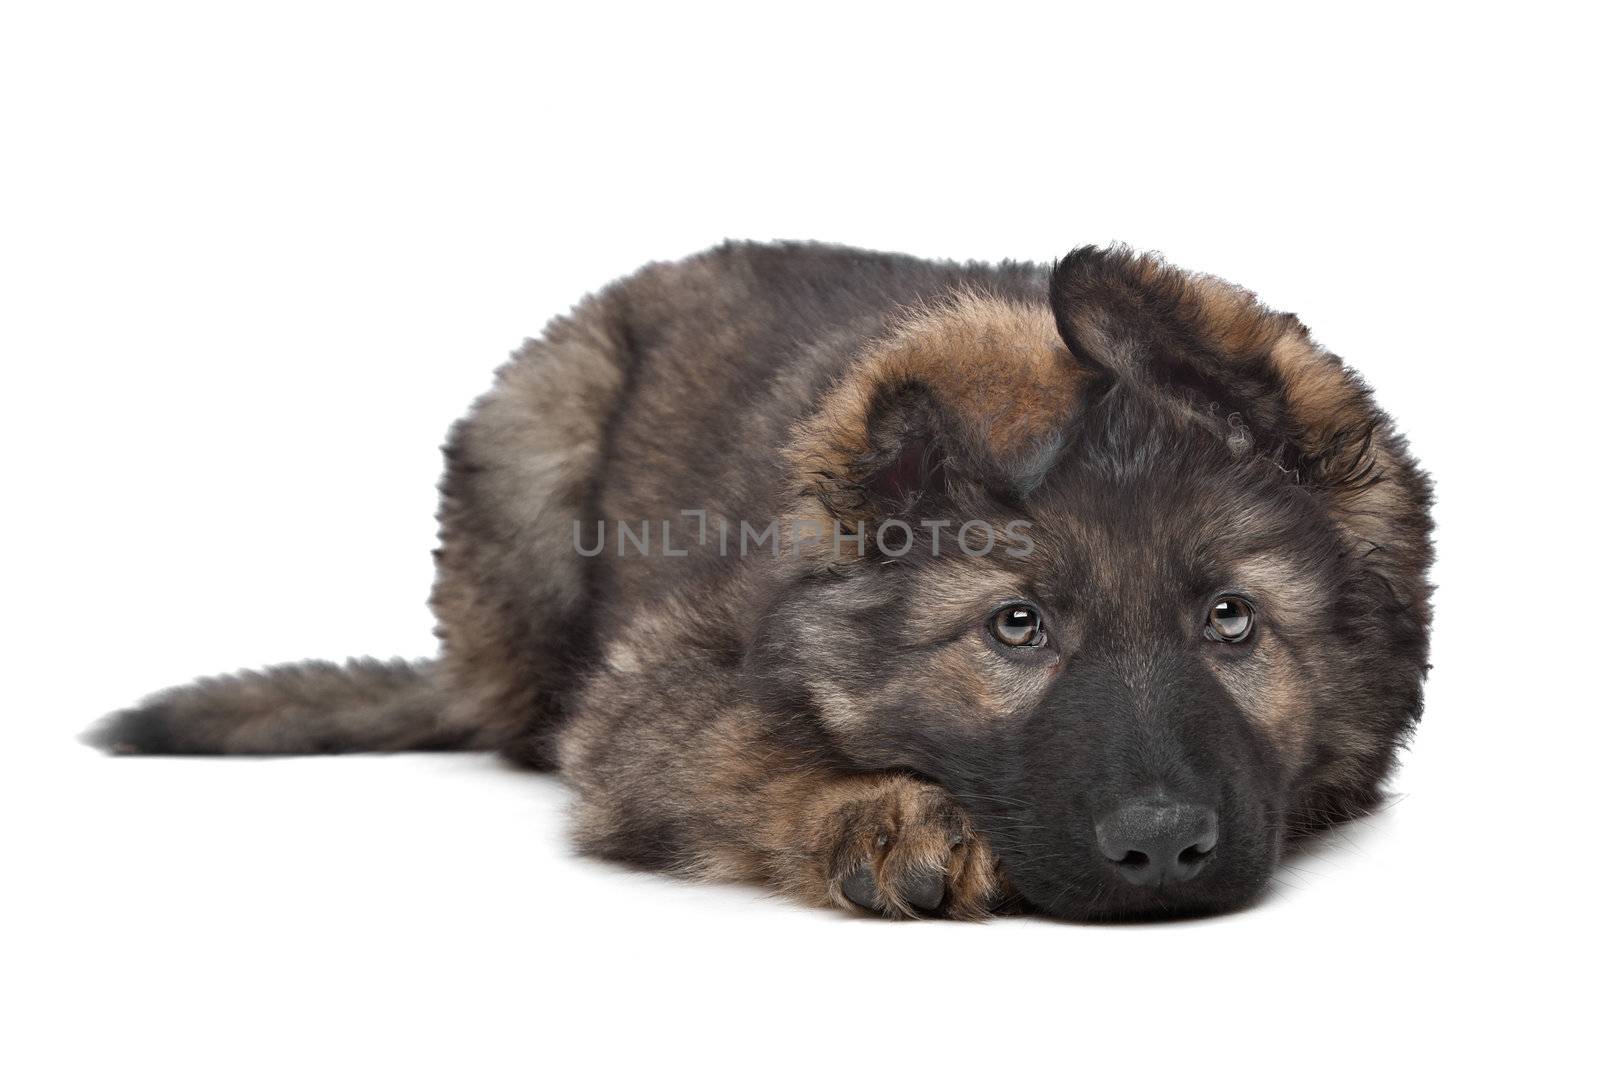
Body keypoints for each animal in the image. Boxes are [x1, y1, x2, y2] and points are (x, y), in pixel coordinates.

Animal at [87, 239, 1440, 921]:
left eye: (1230, 617)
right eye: (1015, 626)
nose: (1162, 848)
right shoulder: (643, 689)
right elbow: (740, 743)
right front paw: (883, 812)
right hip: (536, 459)